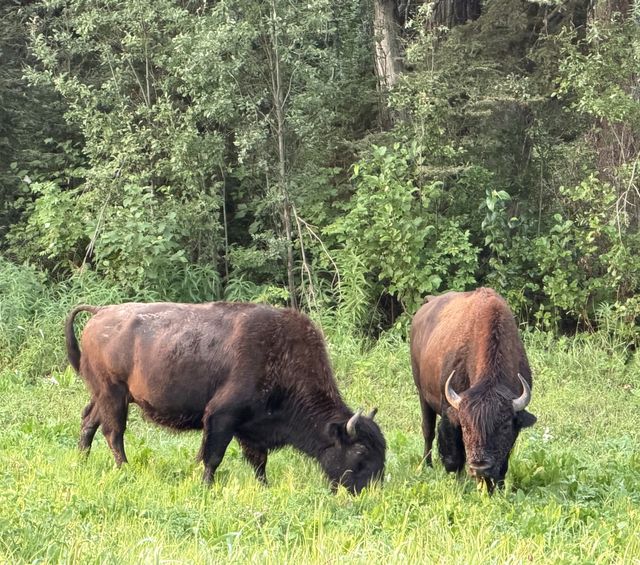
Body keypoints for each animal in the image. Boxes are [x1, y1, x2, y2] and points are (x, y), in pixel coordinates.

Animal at [65, 302, 385, 493]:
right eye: (360, 451)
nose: (373, 489)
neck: (279, 356)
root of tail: (99, 313)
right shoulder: (222, 418)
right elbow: (213, 456)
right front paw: (207, 486)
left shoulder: (251, 429)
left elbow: (259, 461)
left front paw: (264, 487)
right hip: (114, 394)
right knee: (114, 432)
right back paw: (124, 469)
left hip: (106, 396)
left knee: (89, 420)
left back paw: (81, 460)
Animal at [410, 288, 536, 491]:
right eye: (465, 426)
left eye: (504, 426)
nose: (480, 467)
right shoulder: (450, 413)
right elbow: (454, 455)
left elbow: (504, 460)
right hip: (422, 394)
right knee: (428, 431)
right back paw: (426, 466)